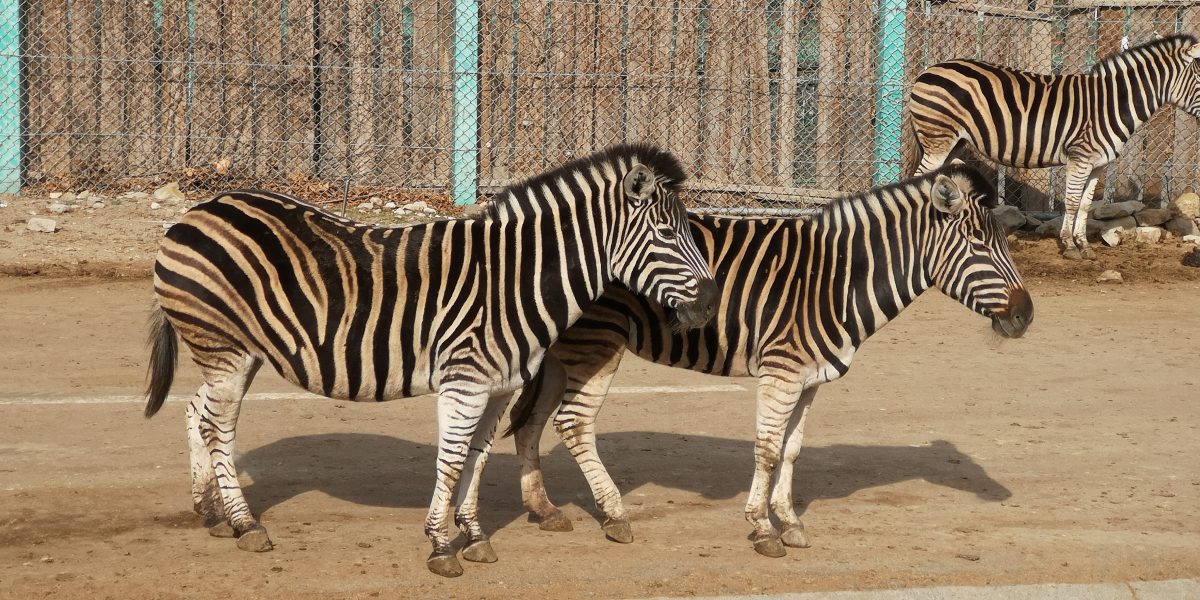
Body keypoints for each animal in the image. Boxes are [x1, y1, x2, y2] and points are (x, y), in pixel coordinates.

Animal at [144, 142, 715, 578]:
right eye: (668, 235)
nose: (710, 305)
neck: (514, 282)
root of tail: (197, 210)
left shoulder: (501, 386)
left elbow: (478, 457)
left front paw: (475, 537)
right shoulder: (464, 381)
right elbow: (453, 458)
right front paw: (442, 545)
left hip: (232, 353)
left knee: (197, 411)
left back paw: (211, 512)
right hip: (225, 346)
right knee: (219, 426)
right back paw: (245, 524)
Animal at [494, 163, 1032, 556]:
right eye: (979, 245)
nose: (1026, 315)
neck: (837, 280)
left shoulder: (811, 377)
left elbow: (792, 451)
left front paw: (789, 521)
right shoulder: (783, 370)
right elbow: (768, 450)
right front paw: (762, 528)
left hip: (561, 348)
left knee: (532, 422)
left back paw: (544, 510)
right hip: (598, 340)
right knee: (573, 422)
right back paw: (614, 515)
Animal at [907, 33, 1200, 260]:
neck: (1112, 104)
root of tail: (928, 70)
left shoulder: (1098, 164)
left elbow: (1085, 205)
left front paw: (1084, 246)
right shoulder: (1080, 157)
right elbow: (1071, 202)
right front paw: (1069, 246)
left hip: (955, 143)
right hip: (937, 140)